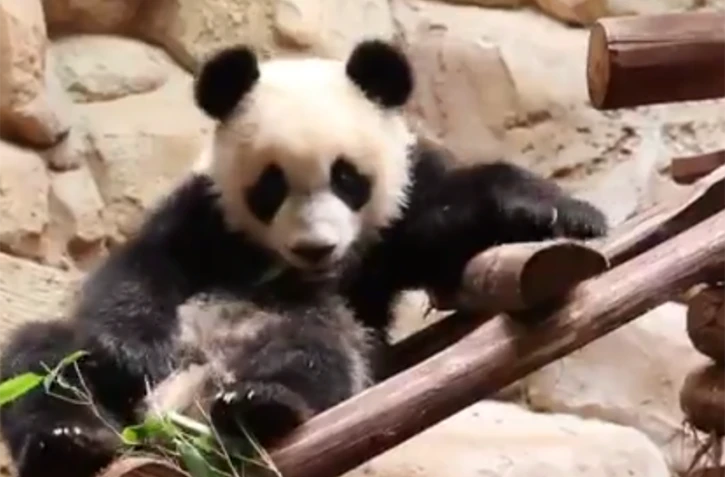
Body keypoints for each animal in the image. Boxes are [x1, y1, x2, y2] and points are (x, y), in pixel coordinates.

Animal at [0, 38, 608, 477]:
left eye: (347, 178)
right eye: (271, 186)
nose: (316, 247)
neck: (284, 267)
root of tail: (176, 412)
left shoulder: (396, 226)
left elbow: (456, 218)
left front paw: (567, 212)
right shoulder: (202, 212)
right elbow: (139, 267)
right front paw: (134, 347)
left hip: (303, 336)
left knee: (311, 351)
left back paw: (260, 403)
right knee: (42, 361)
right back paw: (67, 441)